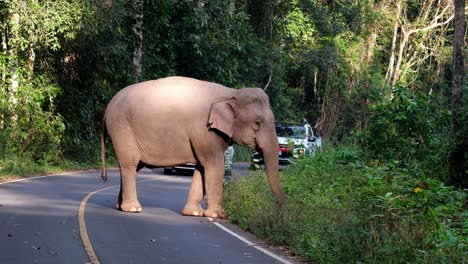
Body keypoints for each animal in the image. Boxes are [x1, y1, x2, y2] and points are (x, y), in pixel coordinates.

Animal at [100, 76, 288, 219]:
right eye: (257, 123)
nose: (280, 211)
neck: (231, 93)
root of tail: (108, 105)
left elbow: (201, 168)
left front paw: (195, 213)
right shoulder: (205, 130)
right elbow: (215, 166)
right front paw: (219, 215)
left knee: (132, 166)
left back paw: (121, 206)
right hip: (122, 129)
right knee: (130, 163)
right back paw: (133, 209)